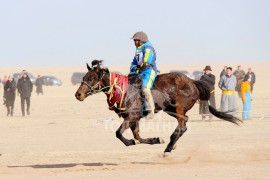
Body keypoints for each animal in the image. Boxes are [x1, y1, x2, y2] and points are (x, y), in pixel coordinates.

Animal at [75, 59, 242, 155]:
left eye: (91, 77)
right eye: (83, 77)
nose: (78, 94)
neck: (125, 90)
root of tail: (193, 81)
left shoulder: (132, 117)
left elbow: (118, 133)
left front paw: (131, 142)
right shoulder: (134, 119)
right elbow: (138, 137)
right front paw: (156, 139)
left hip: (178, 109)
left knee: (182, 125)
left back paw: (169, 148)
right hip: (170, 109)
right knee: (185, 122)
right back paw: (170, 144)